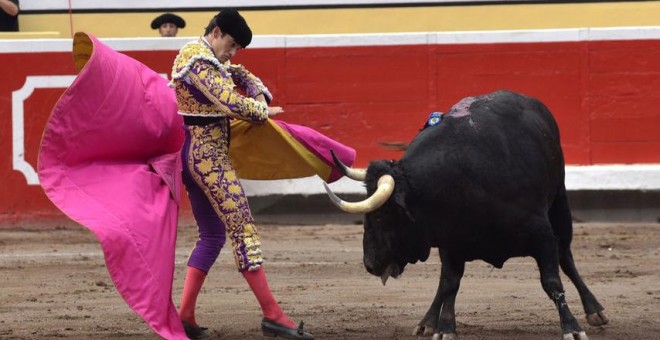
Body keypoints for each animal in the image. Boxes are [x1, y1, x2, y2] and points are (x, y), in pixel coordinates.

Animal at [324, 90, 608, 340]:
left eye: (381, 217)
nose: (369, 264)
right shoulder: (451, 241)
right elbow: (450, 283)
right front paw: (444, 328)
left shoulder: (542, 234)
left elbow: (552, 280)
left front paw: (572, 328)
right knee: (444, 282)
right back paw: (427, 322)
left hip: (559, 203)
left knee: (566, 257)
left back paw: (594, 310)